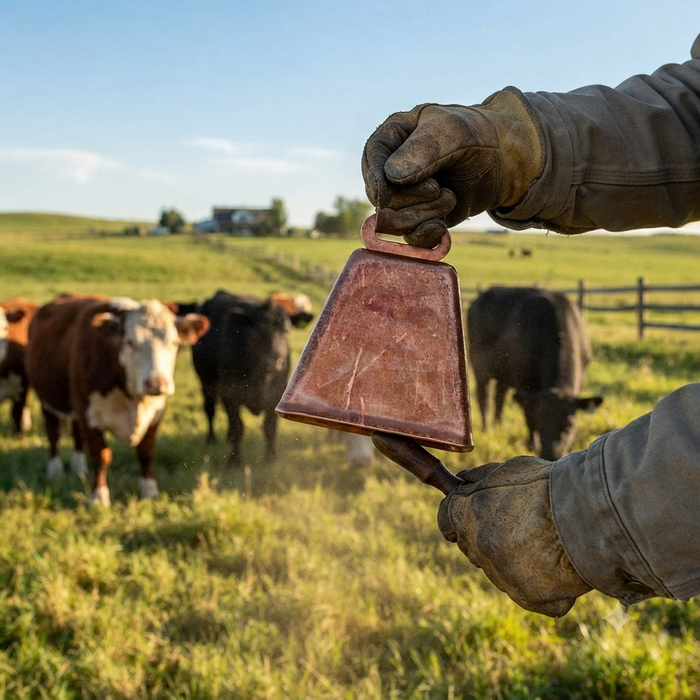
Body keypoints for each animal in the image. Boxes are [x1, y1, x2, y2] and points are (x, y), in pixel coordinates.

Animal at [25, 294, 209, 506]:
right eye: (130, 342)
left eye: (173, 342)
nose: (157, 384)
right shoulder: (89, 414)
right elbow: (100, 456)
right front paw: (98, 497)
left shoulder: (156, 414)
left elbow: (145, 453)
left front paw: (149, 491)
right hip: (48, 400)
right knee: (53, 433)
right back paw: (55, 470)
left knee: (76, 433)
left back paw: (79, 467)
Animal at [184, 290, 313, 467]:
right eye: (257, 332)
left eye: (287, 331)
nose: (275, 361)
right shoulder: (230, 394)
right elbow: (238, 427)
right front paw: (234, 460)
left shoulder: (276, 393)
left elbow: (269, 427)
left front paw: (270, 458)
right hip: (206, 382)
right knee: (210, 409)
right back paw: (211, 440)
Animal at [467, 286, 603, 460]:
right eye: (540, 424)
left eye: (568, 425)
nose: (552, 455)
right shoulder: (524, 383)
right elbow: (528, 414)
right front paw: (532, 445)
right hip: (479, 367)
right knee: (484, 398)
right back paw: (486, 430)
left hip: (503, 375)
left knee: (500, 398)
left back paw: (498, 426)